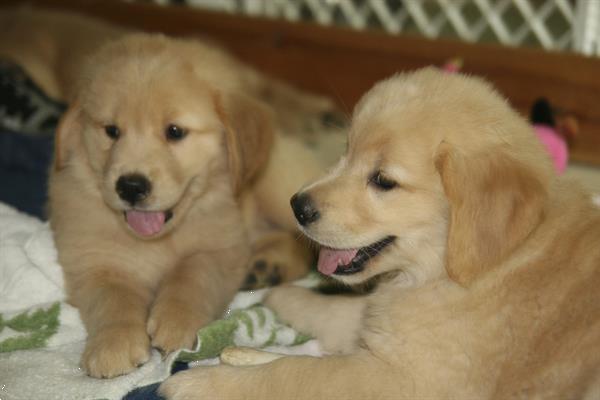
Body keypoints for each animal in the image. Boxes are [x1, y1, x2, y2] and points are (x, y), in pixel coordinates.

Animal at [48, 35, 326, 378]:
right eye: (111, 131)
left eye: (175, 132)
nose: (131, 186)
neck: (158, 239)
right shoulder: (91, 257)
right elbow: (112, 296)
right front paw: (113, 342)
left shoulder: (220, 247)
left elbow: (192, 275)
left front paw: (175, 322)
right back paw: (265, 265)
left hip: (279, 185)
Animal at [159, 67, 600, 398]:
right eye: (345, 150)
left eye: (384, 181)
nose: (297, 206)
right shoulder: (390, 324)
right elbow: (345, 312)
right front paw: (283, 296)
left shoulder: (406, 378)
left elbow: (296, 373)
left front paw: (203, 383)